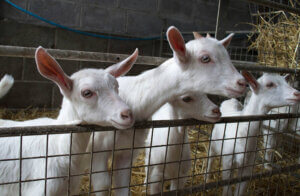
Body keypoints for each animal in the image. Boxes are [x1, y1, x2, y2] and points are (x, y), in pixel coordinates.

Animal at [88, 26, 247, 196]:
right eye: (205, 58)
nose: (242, 83)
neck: (134, 100)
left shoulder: (128, 151)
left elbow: (122, 186)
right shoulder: (98, 150)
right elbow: (103, 184)